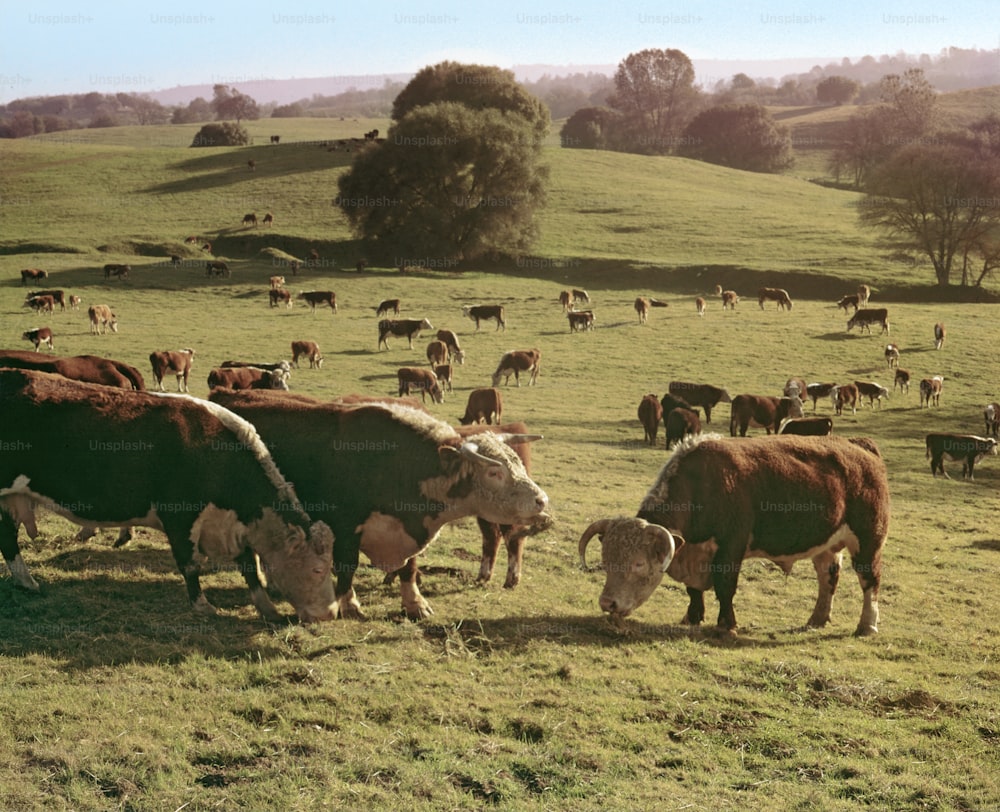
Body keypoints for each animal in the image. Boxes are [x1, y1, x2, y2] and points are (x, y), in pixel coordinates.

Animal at [0, 364, 338, 624]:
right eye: (318, 569)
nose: (331, 612)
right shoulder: (180, 517)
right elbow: (190, 564)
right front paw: (203, 606)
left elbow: (249, 567)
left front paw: (268, 609)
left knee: (8, 539)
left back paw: (26, 581)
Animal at [208, 390, 552, 620]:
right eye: (494, 472)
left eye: (517, 463)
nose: (541, 500)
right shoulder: (346, 526)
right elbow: (347, 566)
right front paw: (349, 604)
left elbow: (409, 567)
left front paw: (415, 604)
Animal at [580, 434, 892, 636]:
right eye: (606, 560)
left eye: (638, 564)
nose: (607, 603)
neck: (703, 484)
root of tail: (861, 446)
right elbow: (693, 590)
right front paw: (692, 617)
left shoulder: (731, 548)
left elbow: (725, 586)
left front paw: (726, 623)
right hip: (827, 546)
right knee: (828, 579)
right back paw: (817, 619)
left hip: (868, 542)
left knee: (870, 581)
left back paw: (867, 625)